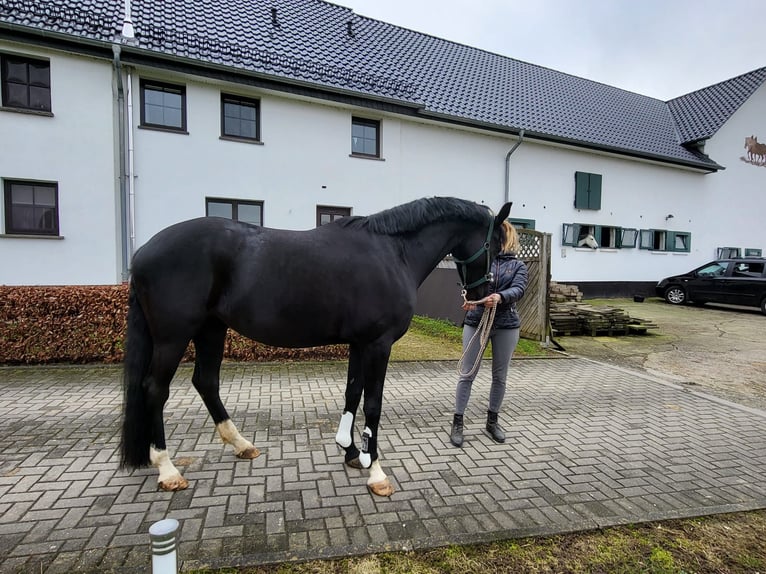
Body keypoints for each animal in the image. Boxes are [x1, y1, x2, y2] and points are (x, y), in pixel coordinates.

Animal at [120, 196, 512, 496]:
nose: (483, 296)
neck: (393, 253)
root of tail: (142, 253)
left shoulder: (360, 343)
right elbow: (373, 404)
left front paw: (351, 453)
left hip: (211, 330)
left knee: (205, 382)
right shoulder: (378, 344)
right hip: (173, 337)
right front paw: (376, 472)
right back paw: (167, 469)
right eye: (494, 245)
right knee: (155, 389)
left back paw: (241, 445)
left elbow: (353, 393)